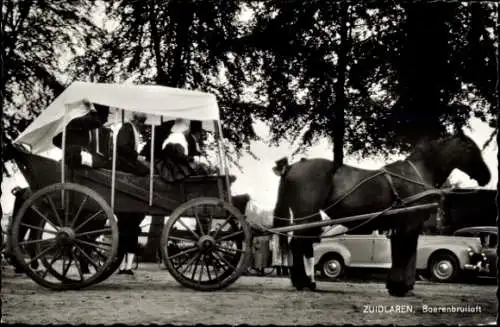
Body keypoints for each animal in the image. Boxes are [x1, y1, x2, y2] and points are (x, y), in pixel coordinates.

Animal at [272, 131, 490, 298]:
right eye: (470, 148)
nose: (487, 176)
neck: (417, 174)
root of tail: (290, 167)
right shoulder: (410, 224)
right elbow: (406, 252)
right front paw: (401, 287)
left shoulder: (400, 225)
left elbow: (402, 252)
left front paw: (398, 286)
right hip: (307, 217)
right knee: (299, 244)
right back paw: (303, 282)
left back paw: (305, 282)